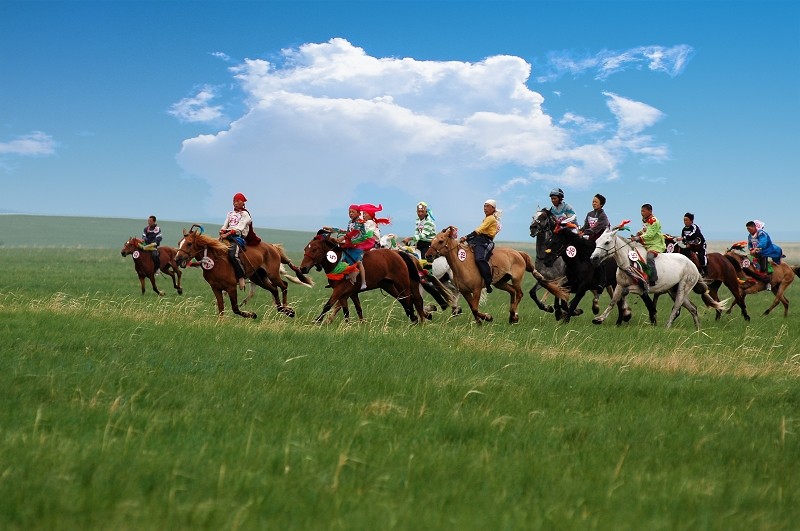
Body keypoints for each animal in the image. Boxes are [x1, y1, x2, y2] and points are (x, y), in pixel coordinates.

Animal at [175, 225, 312, 320]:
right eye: (179, 243)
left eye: (189, 243)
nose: (177, 259)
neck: (216, 261)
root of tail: (273, 246)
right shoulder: (216, 288)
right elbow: (221, 307)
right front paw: (220, 323)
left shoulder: (230, 287)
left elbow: (235, 308)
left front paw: (252, 315)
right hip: (259, 278)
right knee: (274, 289)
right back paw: (282, 309)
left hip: (272, 275)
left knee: (284, 285)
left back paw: (288, 310)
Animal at [296, 233, 428, 324]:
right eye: (305, 249)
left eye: (315, 249)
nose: (303, 268)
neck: (338, 262)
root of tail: (398, 253)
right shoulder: (348, 293)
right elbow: (351, 310)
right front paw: (352, 325)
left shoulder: (339, 290)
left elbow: (328, 305)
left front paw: (317, 321)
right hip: (388, 285)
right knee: (403, 300)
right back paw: (415, 318)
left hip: (403, 284)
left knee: (411, 300)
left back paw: (416, 319)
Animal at [424, 224, 568, 324]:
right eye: (432, 241)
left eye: (441, 241)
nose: (428, 255)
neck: (462, 264)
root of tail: (518, 253)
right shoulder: (465, 292)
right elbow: (472, 307)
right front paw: (479, 321)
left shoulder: (476, 289)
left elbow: (475, 308)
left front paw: (487, 317)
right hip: (500, 282)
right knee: (512, 292)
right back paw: (512, 316)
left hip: (516, 279)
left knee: (519, 293)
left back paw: (513, 315)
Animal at [584, 227, 728, 330]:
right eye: (597, 241)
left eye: (607, 242)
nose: (593, 258)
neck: (628, 262)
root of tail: (693, 265)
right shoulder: (619, 285)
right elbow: (613, 301)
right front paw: (599, 319)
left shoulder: (641, 288)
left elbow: (624, 295)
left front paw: (626, 314)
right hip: (674, 290)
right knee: (692, 308)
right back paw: (698, 329)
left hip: (683, 287)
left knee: (677, 306)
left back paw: (667, 326)